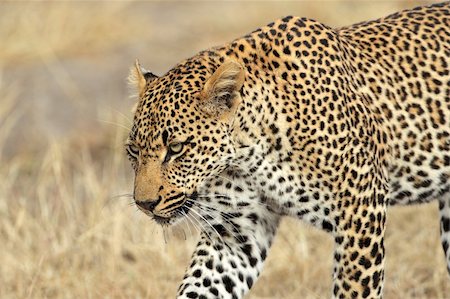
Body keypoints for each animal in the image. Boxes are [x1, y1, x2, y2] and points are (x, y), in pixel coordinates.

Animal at [125, 2, 448, 299]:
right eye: (133, 151)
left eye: (176, 148)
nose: (144, 204)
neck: (249, 157)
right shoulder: (235, 236)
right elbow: (199, 286)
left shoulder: (360, 210)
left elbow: (354, 288)